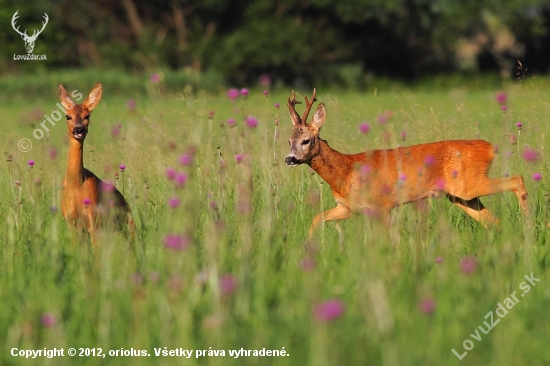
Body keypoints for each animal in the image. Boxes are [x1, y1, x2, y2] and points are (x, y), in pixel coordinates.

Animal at [59, 83, 134, 243]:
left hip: (126, 223)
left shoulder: (94, 218)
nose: (79, 129)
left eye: (87, 116)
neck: (76, 186)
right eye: (68, 116)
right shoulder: (70, 220)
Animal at [284, 88, 532, 237]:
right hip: (460, 196)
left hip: (468, 185)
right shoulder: (347, 207)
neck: (346, 171)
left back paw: (527, 224)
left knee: (517, 179)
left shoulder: (383, 204)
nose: (290, 159)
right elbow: (317, 219)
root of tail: (490, 147)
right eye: (288, 141)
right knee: (492, 221)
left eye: (306, 140)